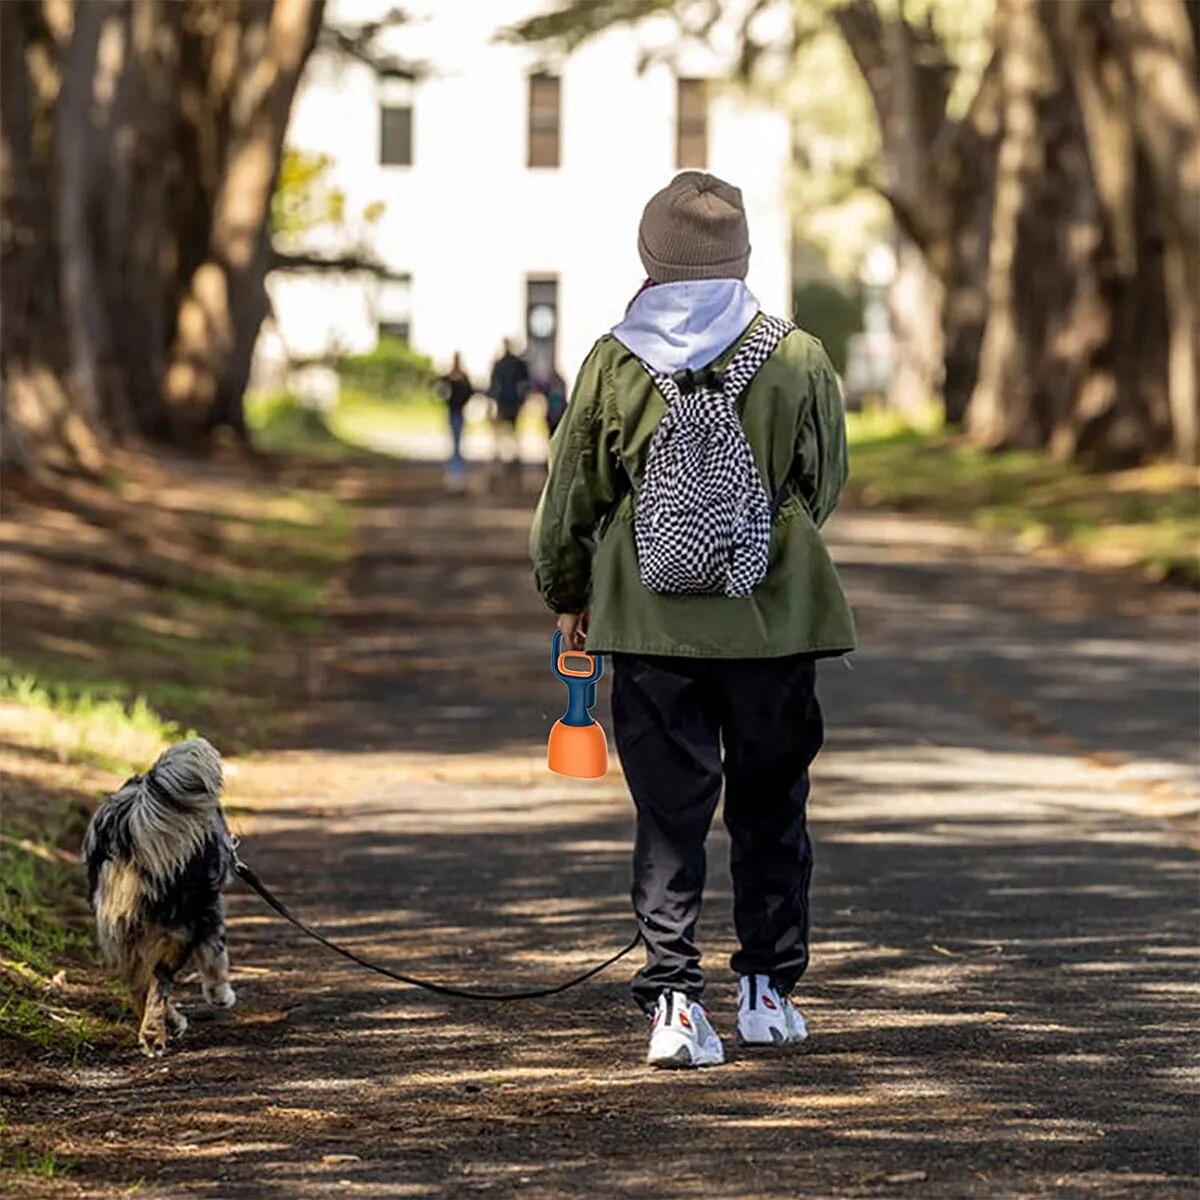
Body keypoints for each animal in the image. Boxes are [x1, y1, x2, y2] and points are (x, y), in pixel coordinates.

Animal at [81, 734, 236, 1056]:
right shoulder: (210, 909)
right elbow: (215, 955)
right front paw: (220, 994)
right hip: (178, 928)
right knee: (158, 982)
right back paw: (155, 1034)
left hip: (118, 931)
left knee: (138, 984)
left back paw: (166, 1025)